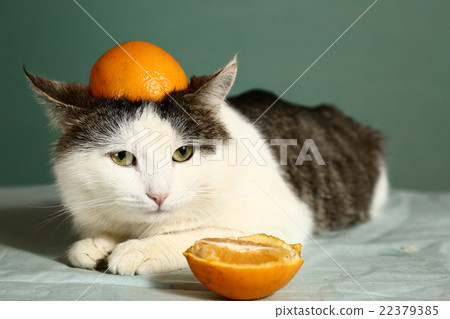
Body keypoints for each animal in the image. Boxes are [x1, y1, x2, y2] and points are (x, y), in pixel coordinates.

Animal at [24, 58, 386, 276]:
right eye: (122, 158)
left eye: (183, 153)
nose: (158, 195)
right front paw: (96, 243)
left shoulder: (280, 222)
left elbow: (202, 234)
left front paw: (141, 249)